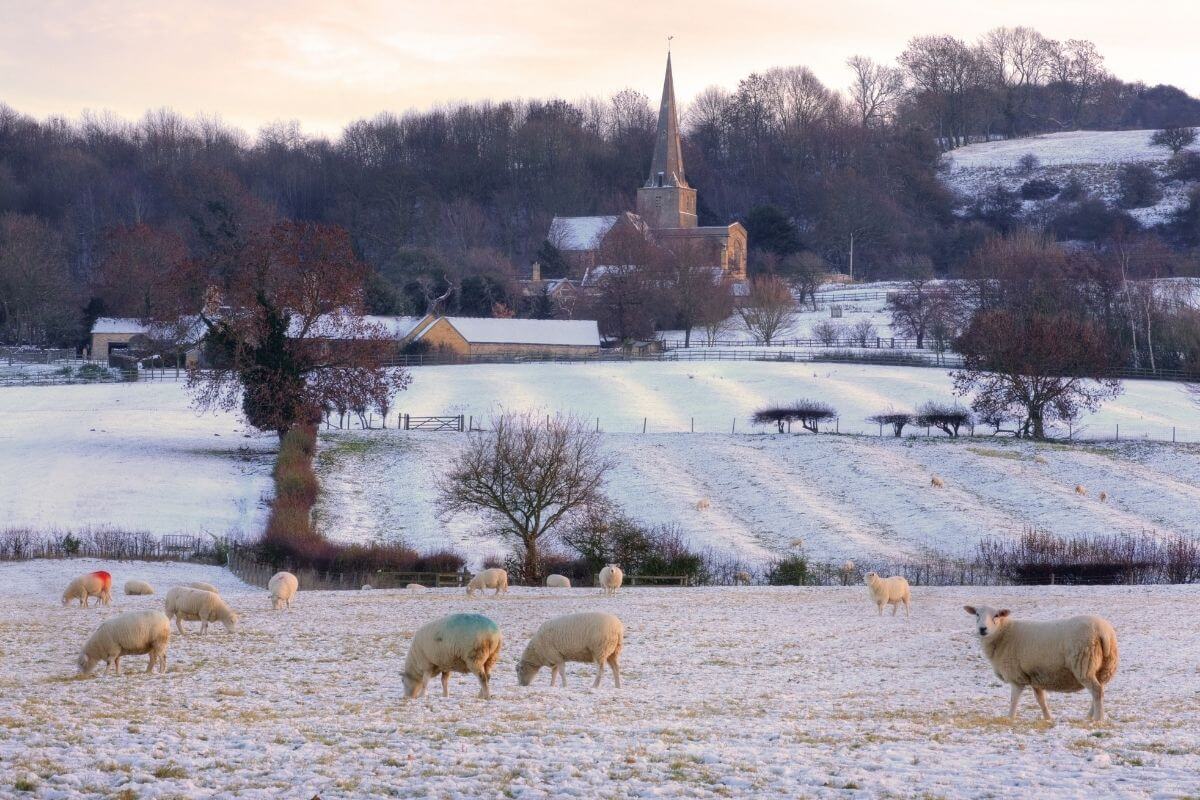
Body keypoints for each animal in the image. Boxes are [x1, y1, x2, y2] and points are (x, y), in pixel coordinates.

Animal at [960, 604, 1118, 724]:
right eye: (977, 614)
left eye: (997, 615)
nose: (982, 629)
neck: (1003, 634)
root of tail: (1104, 632)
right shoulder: (1035, 677)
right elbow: (1041, 700)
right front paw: (1048, 718)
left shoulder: (1016, 677)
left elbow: (1013, 700)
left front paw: (1010, 718)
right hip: (1104, 667)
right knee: (1100, 690)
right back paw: (1089, 717)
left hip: (1084, 663)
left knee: (1096, 691)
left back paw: (1098, 720)